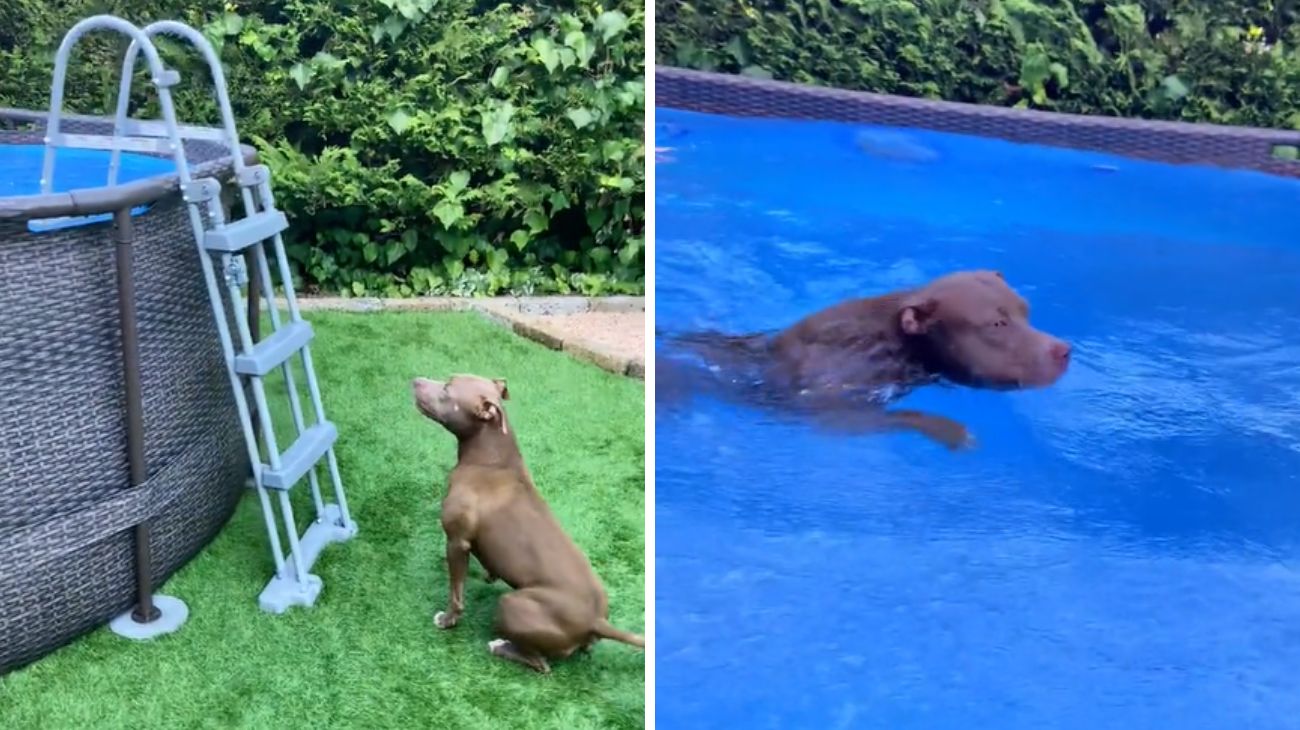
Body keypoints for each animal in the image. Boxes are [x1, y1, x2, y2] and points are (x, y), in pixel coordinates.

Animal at [410, 371, 644, 675]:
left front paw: (448, 620)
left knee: (541, 664)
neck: (491, 461)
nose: (415, 380)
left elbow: (456, 593)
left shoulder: (456, 540)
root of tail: (596, 621)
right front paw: (487, 574)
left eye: (448, 390)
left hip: (511, 604)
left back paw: (500, 646)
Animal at [660, 268, 1066, 446]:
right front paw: (951, 431)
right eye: (996, 324)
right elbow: (902, 417)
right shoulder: (834, 406)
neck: (892, 341)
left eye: (1026, 311)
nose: (1065, 350)